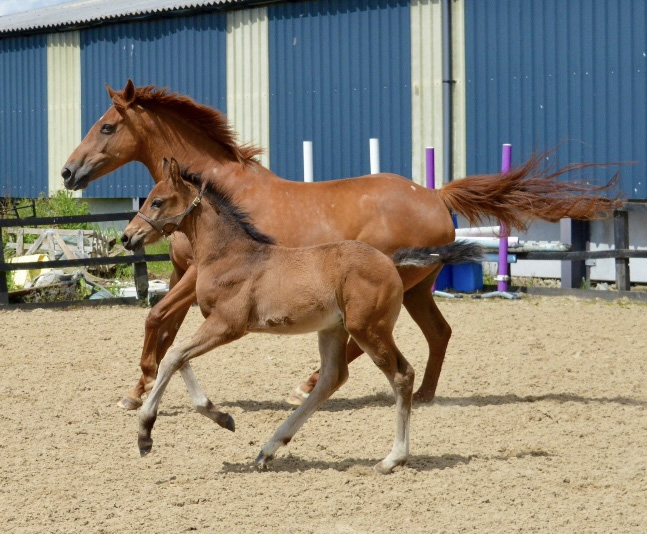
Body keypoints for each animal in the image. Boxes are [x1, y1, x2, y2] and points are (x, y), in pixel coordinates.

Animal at [62, 81, 624, 412]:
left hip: (390, 286)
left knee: (370, 338)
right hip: (417, 287)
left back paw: (312, 384)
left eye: (106, 126)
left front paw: (136, 391)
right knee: (438, 333)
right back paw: (423, 394)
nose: (68, 172)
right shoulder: (183, 273)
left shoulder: (199, 275)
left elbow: (156, 318)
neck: (216, 191)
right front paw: (141, 388)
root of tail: (435, 195)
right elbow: (164, 324)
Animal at [121, 159, 484, 474]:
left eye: (157, 202)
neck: (231, 256)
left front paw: (145, 433)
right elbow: (178, 356)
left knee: (401, 375)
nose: (127, 236)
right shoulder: (213, 324)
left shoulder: (227, 325)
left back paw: (392, 459)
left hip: (368, 328)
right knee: (332, 378)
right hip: (334, 329)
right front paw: (221, 417)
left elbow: (174, 357)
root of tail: (390, 260)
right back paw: (268, 449)